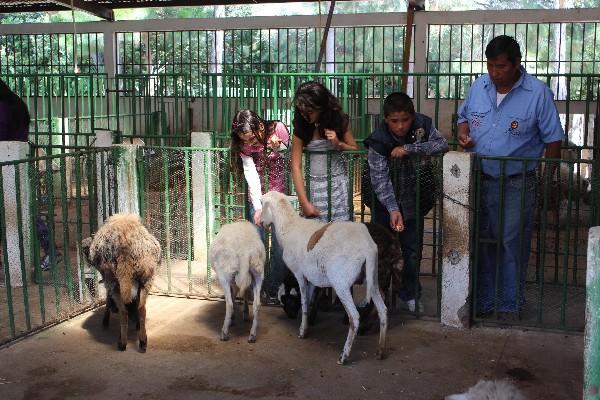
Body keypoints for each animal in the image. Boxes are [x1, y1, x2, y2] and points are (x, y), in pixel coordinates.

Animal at [82, 214, 162, 352]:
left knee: (123, 312)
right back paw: (142, 341)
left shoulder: (107, 278)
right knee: (141, 309)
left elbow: (108, 298)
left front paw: (106, 320)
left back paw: (122, 343)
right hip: (146, 278)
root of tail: (125, 244)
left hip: (113, 278)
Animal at [260, 191, 386, 366]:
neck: (288, 228)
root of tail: (367, 247)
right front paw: (308, 324)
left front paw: (302, 331)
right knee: (383, 310)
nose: (261, 222)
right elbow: (311, 299)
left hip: (341, 283)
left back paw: (343, 356)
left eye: (262, 204)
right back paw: (380, 351)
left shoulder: (299, 273)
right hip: (372, 279)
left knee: (354, 317)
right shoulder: (313, 277)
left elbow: (304, 301)